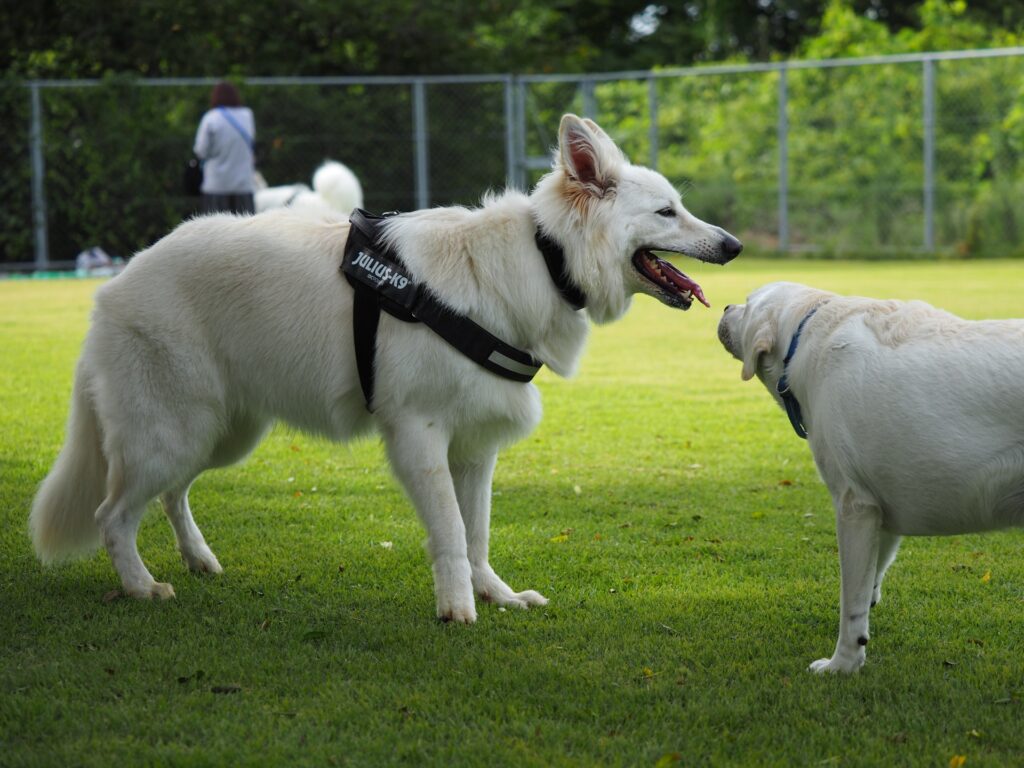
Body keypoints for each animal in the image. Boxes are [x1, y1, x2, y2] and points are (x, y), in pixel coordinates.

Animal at [29, 115, 737, 626]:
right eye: (667, 212)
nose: (732, 246)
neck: (543, 256)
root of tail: (116, 283)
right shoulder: (420, 438)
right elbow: (450, 531)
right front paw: (458, 609)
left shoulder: (475, 451)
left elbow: (478, 535)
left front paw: (496, 596)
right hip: (173, 434)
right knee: (112, 515)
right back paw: (141, 587)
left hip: (219, 436)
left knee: (170, 496)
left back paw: (198, 560)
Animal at [716, 280, 1024, 671]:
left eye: (748, 302)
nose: (725, 307)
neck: (805, 334)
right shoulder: (882, 510)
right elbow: (871, 580)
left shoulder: (855, 506)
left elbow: (851, 602)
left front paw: (842, 663)